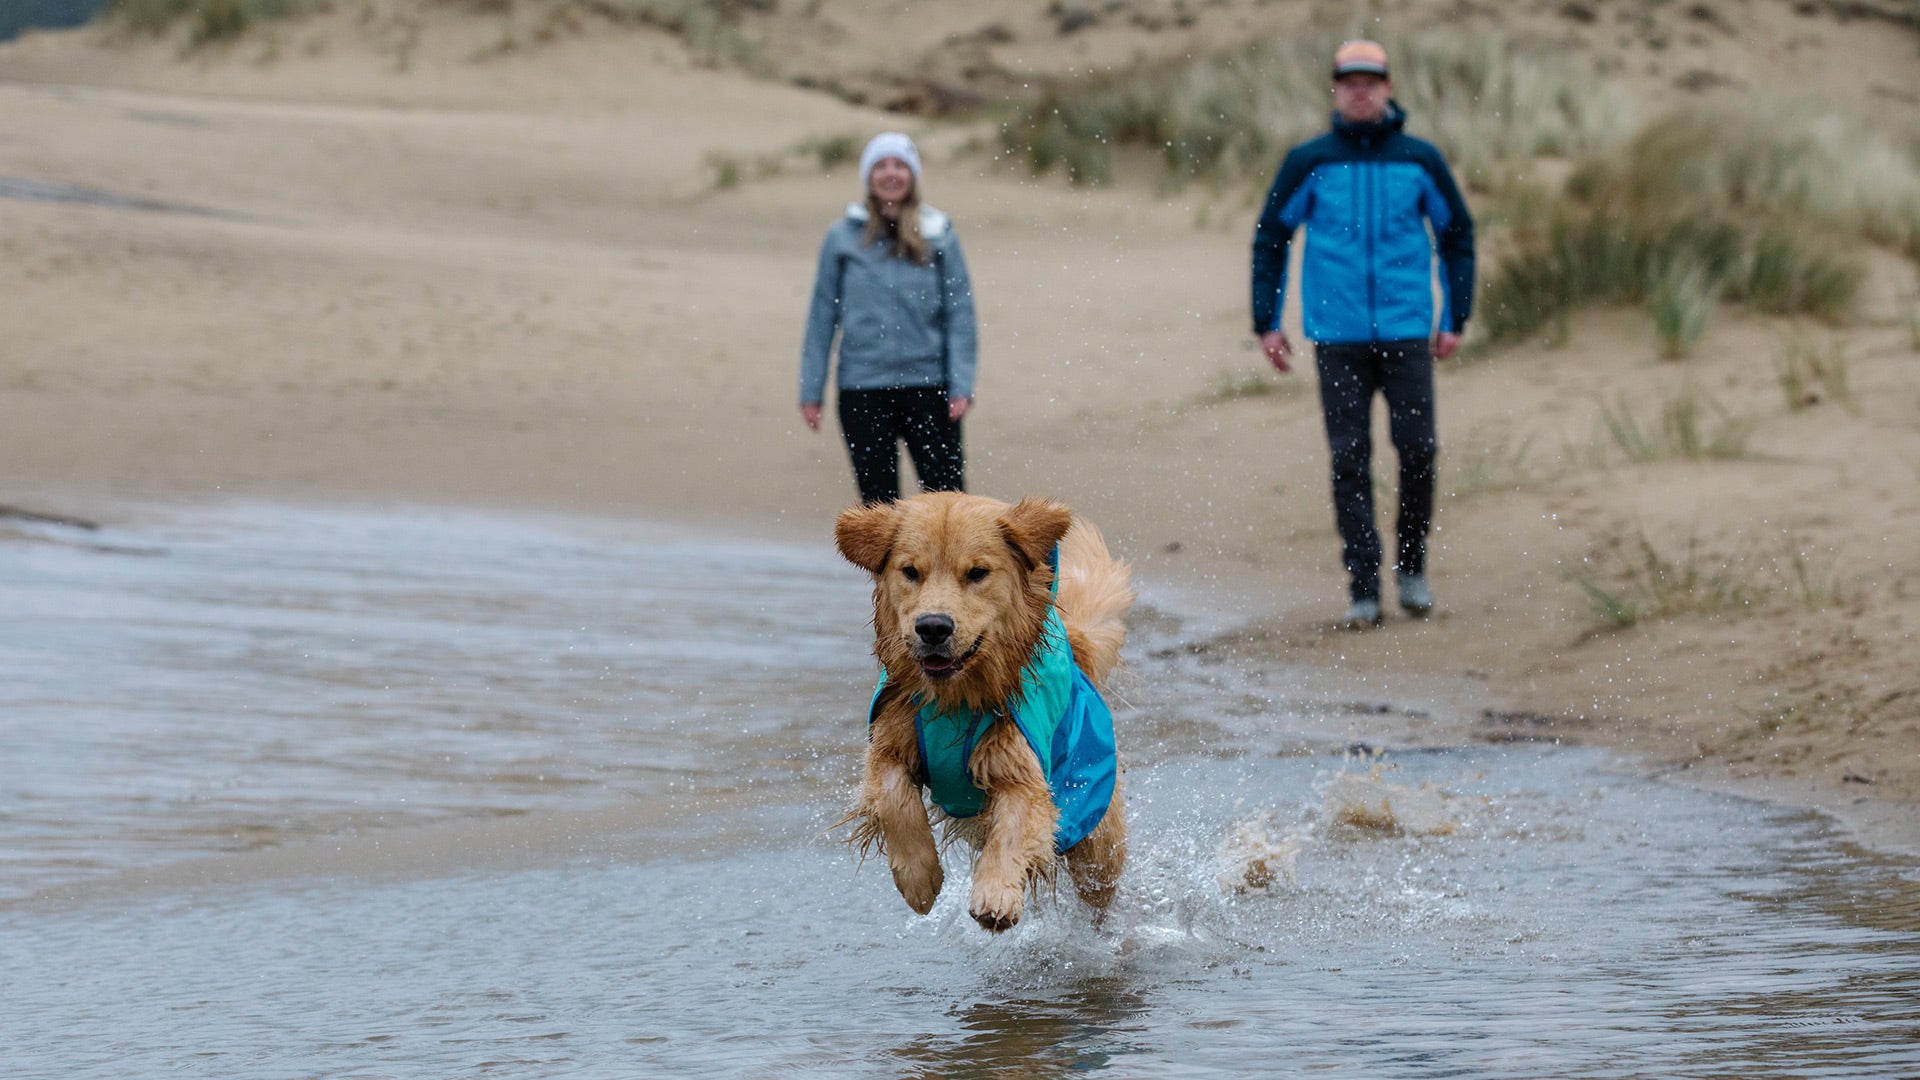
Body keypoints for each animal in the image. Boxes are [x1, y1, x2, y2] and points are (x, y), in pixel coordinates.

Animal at [837, 491, 1128, 930]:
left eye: (977, 573)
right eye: (910, 571)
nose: (933, 626)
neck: (954, 700)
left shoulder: (1019, 768)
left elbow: (1012, 830)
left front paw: (996, 895)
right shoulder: (889, 740)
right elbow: (893, 800)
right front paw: (919, 879)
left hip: (1093, 819)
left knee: (1100, 885)